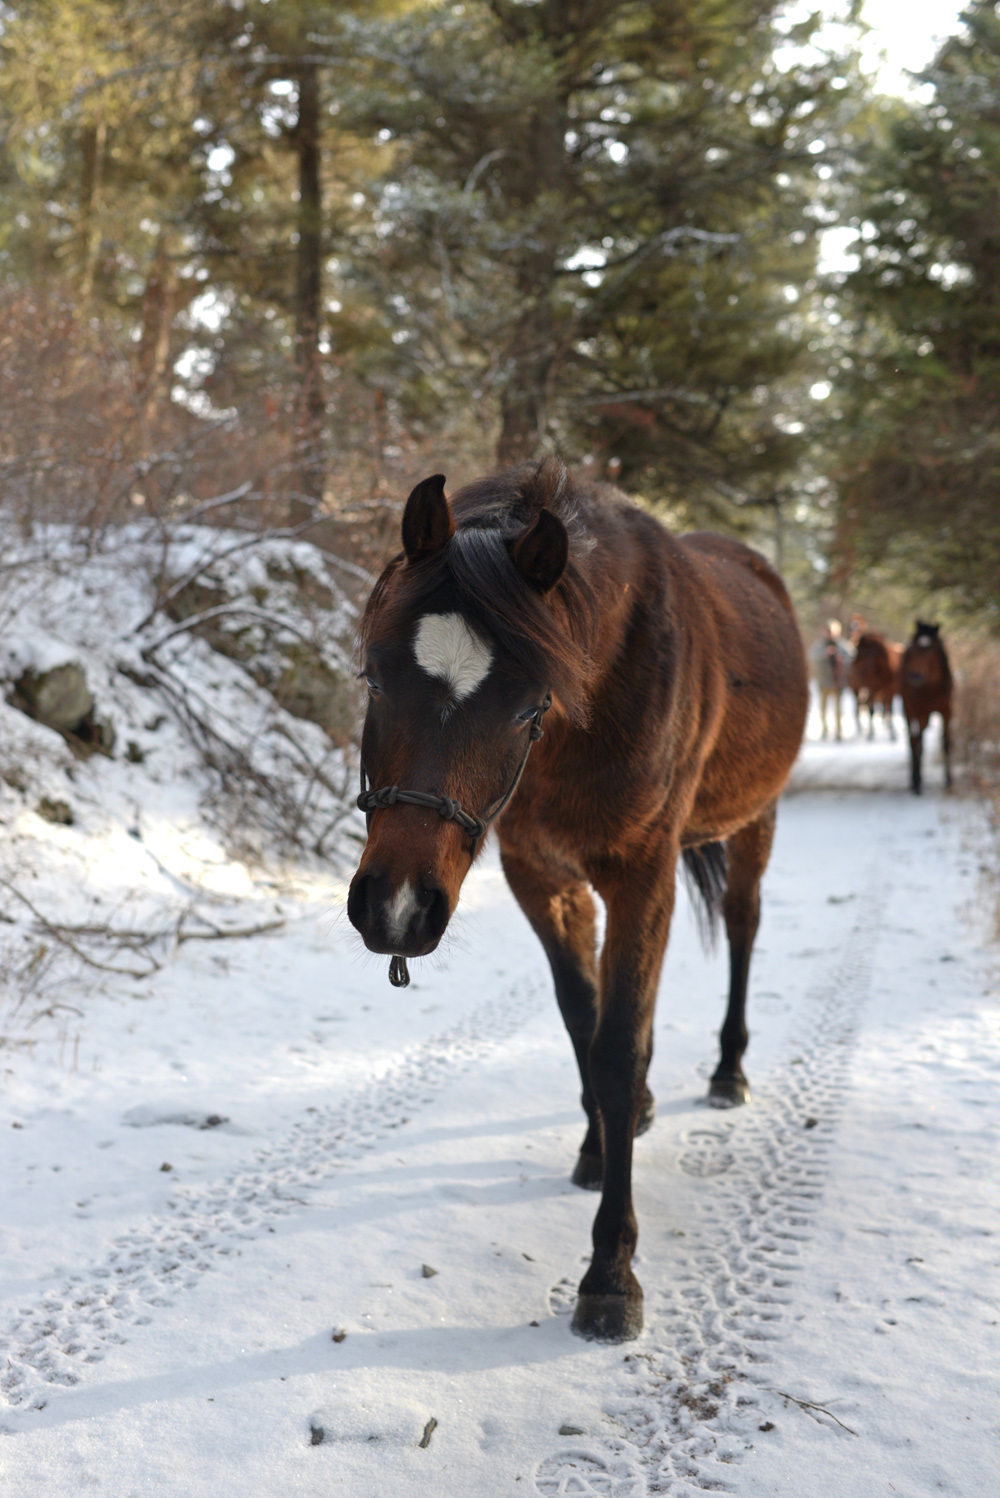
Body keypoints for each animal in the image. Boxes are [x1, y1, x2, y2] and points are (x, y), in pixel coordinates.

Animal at [347, 459, 808, 1343]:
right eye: (374, 677)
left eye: (530, 704)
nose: (395, 907)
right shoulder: (543, 876)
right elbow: (583, 1018)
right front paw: (599, 1147)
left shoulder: (642, 874)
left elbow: (617, 1048)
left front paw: (610, 1273)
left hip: (754, 823)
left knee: (743, 928)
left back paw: (728, 1070)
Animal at [901, 620, 953, 794]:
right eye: (913, 648)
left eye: (930, 650)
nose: (915, 675)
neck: (932, 688)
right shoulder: (919, 711)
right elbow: (917, 742)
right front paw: (917, 782)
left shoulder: (947, 711)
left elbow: (946, 743)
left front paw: (949, 780)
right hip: (910, 710)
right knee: (913, 741)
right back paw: (914, 780)